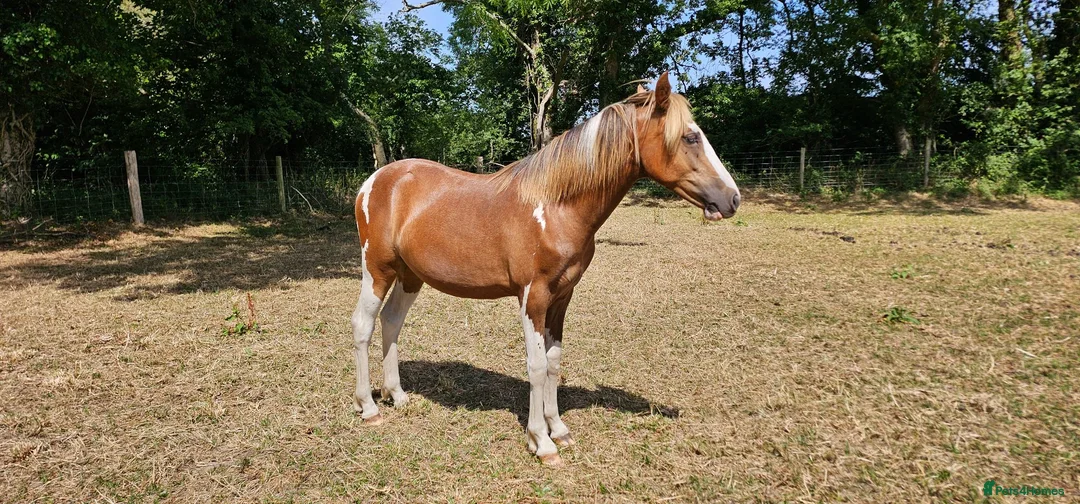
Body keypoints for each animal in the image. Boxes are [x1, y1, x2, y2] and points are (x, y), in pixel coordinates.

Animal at [350, 72, 740, 466]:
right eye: (690, 137)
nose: (733, 198)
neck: (555, 207)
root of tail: (373, 181)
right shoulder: (532, 297)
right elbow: (536, 366)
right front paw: (541, 441)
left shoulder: (561, 297)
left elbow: (553, 362)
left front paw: (559, 429)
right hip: (377, 270)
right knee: (364, 324)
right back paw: (369, 407)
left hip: (410, 276)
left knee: (392, 321)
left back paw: (397, 395)